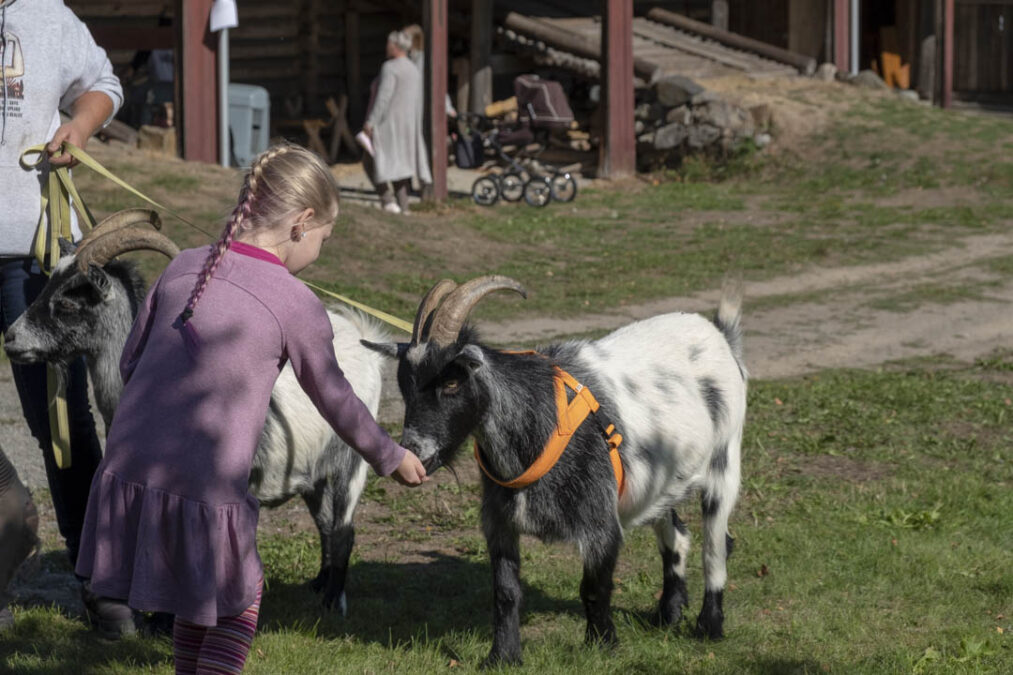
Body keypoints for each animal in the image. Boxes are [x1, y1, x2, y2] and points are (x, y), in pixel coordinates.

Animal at [368, 273, 749, 660]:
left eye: (451, 382)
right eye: (404, 386)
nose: (413, 452)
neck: (540, 421)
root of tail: (718, 335)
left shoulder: (601, 523)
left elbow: (593, 588)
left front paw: (603, 646)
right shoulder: (499, 521)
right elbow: (505, 592)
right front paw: (503, 656)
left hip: (725, 461)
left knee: (716, 546)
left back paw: (709, 627)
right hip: (658, 481)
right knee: (678, 536)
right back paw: (668, 614)